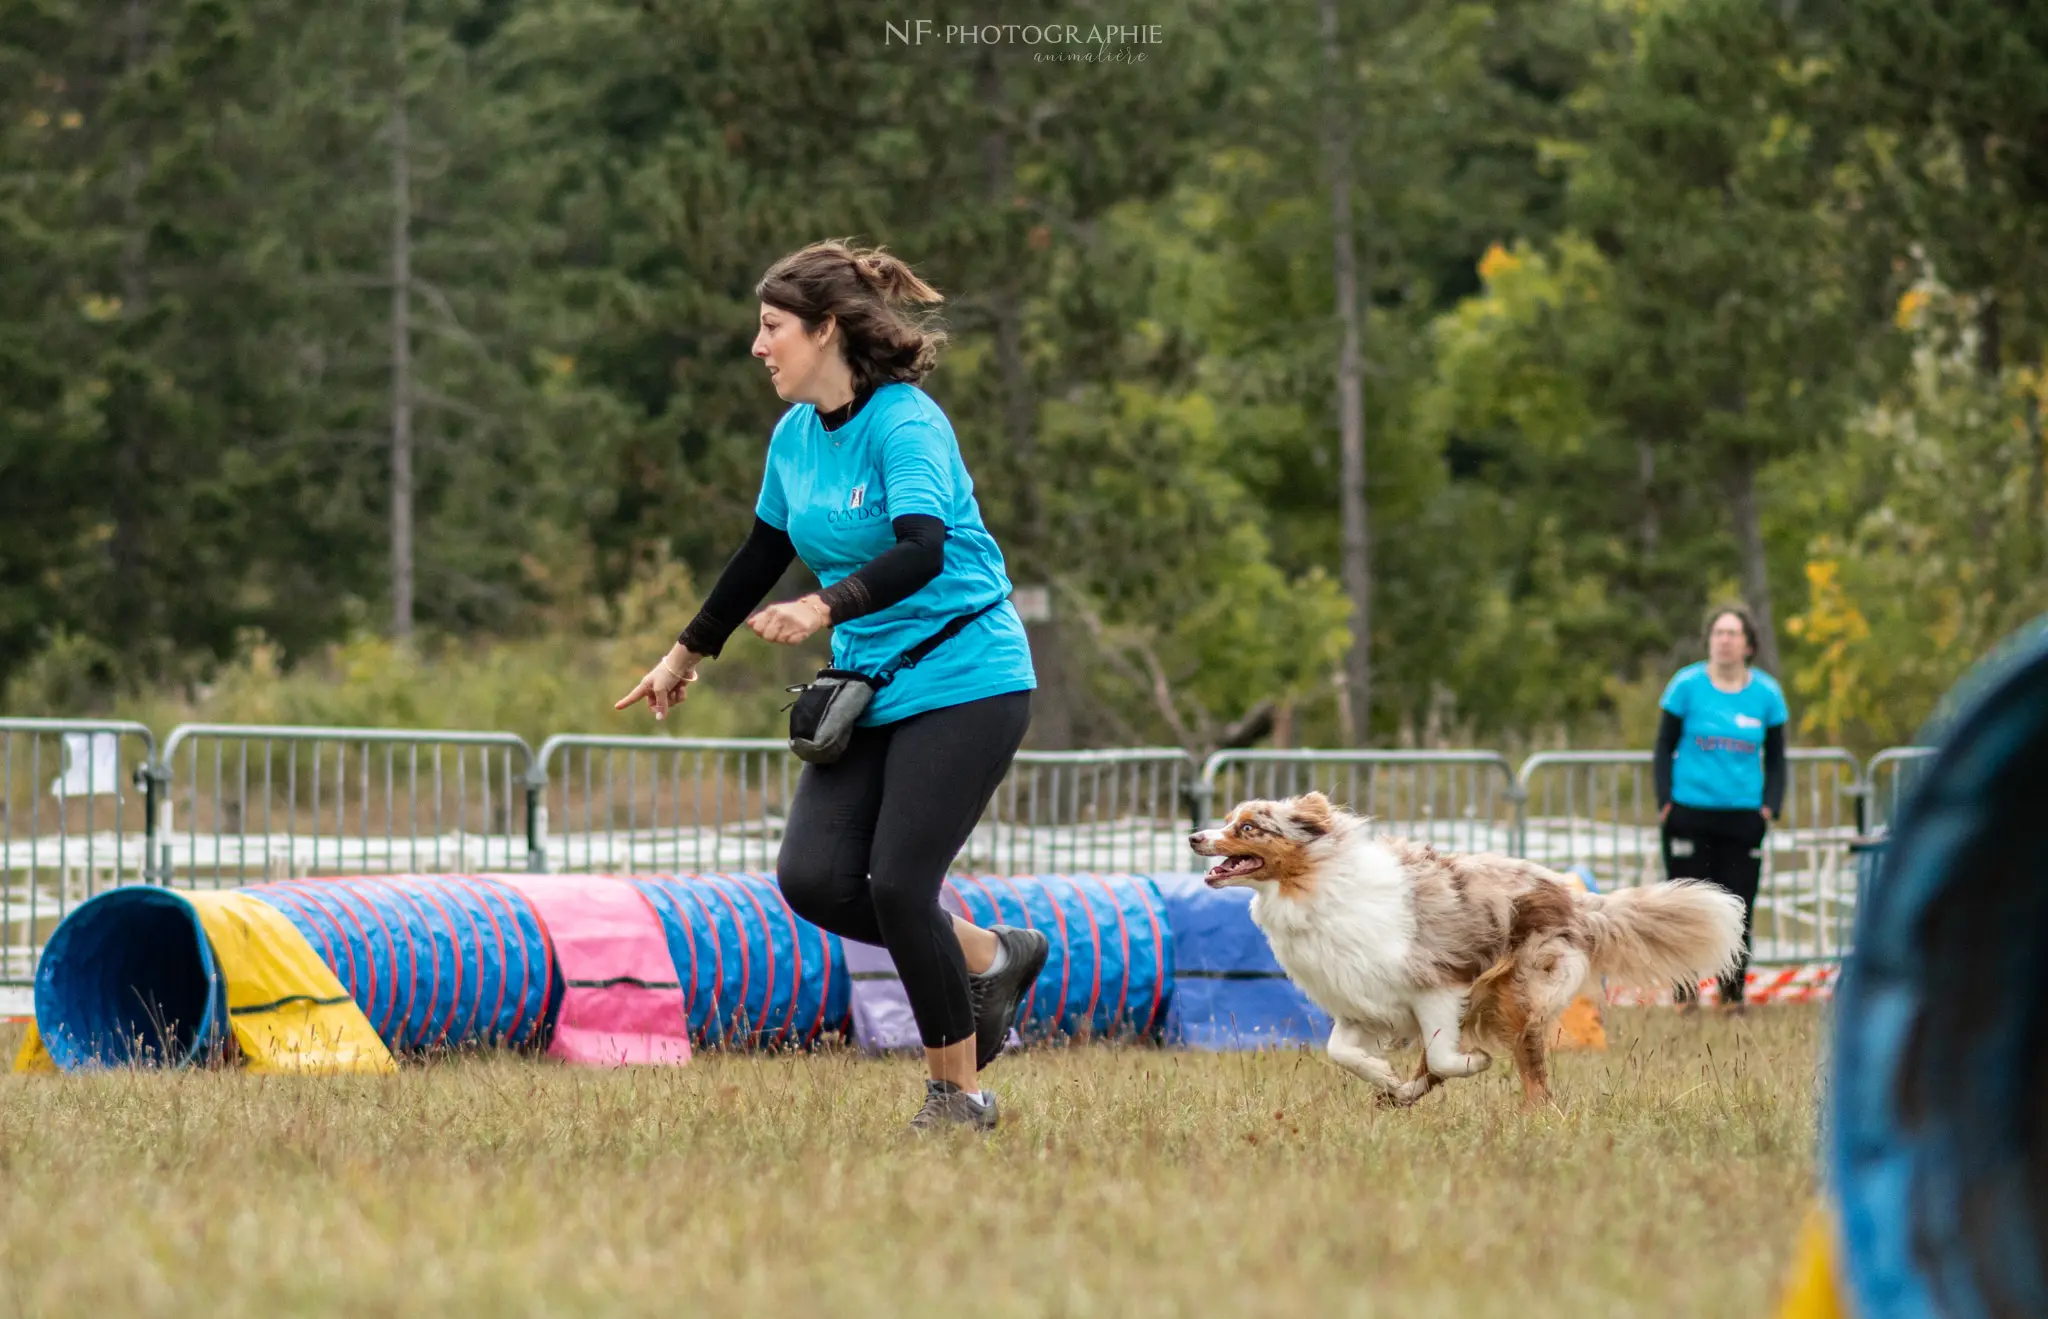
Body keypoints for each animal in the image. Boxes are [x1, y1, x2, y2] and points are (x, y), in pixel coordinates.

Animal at [1196, 786, 1744, 1105]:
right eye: (1229, 819)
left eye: (1247, 827)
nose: (1193, 837)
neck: (1314, 884)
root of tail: (1577, 899)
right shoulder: (1363, 1001)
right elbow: (1341, 1053)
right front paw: (1386, 1077)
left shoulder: (1439, 987)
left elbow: (1442, 1057)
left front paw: (1474, 1062)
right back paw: (1404, 1094)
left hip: (1522, 993)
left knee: (1532, 1074)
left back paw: (1537, 1116)